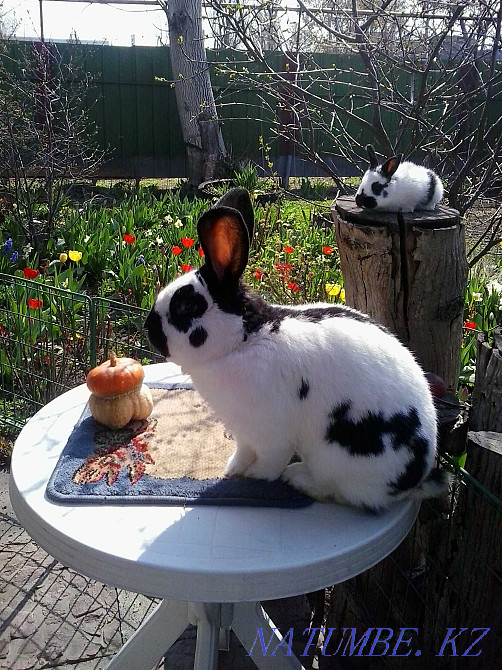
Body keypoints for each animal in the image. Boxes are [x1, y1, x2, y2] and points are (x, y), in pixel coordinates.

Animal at [145, 187, 450, 512]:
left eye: (186, 306)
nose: (148, 329)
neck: (243, 340)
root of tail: (413, 480)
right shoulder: (243, 431)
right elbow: (242, 451)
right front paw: (232, 469)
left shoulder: (270, 431)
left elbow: (269, 462)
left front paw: (254, 476)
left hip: (334, 459)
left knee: (339, 491)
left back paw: (298, 478)